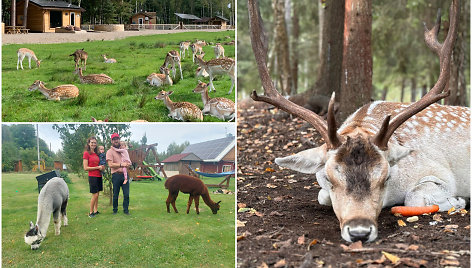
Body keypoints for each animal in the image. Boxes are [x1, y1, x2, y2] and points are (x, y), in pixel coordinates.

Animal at [245, 0, 466, 243]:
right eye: (329, 178)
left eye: (386, 177)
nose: (359, 231)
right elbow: (322, 196)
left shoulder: (441, 174)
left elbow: (414, 197)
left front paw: (457, 201)